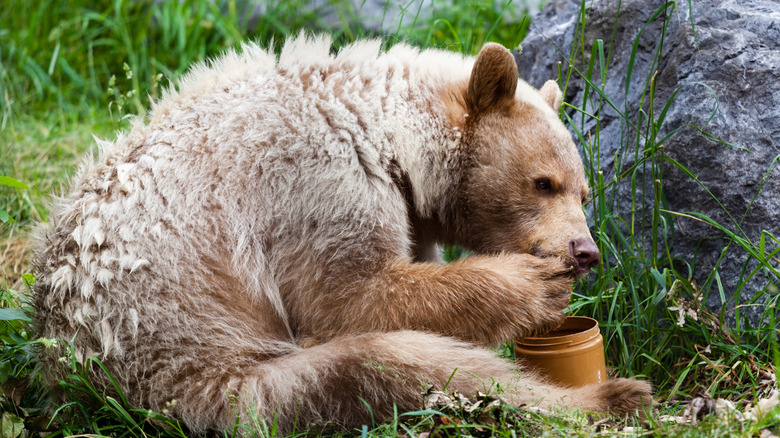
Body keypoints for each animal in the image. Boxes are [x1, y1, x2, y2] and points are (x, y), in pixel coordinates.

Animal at [33, 34, 651, 434]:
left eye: (585, 193)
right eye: (544, 182)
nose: (584, 251)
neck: (385, 133)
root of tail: (70, 364)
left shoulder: (404, 214)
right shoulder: (315, 183)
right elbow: (351, 298)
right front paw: (533, 284)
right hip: (209, 370)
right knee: (392, 366)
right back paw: (608, 396)